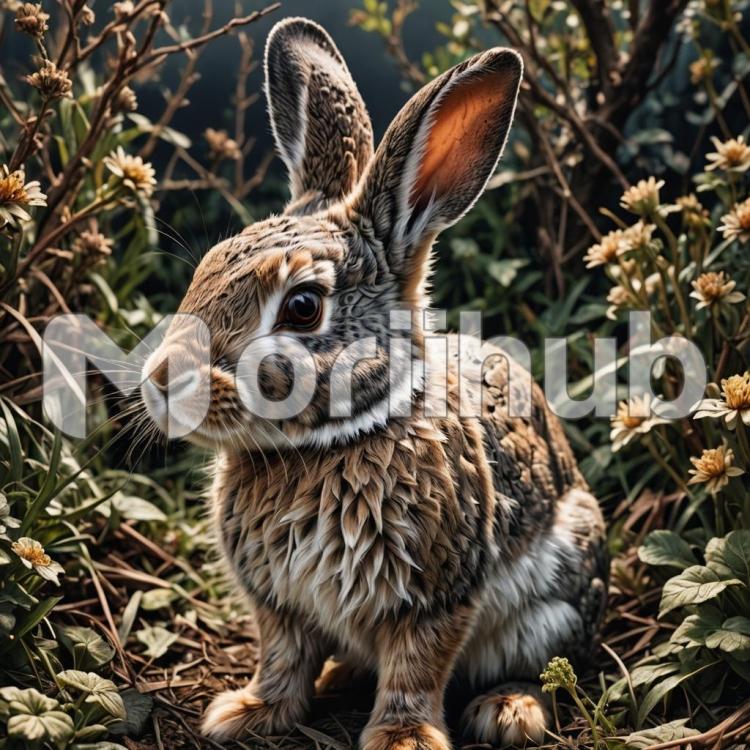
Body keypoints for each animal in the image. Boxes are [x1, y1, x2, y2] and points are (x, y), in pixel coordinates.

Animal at [140, 17, 608, 750]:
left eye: (303, 307)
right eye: (207, 268)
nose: (161, 383)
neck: (331, 442)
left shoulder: (436, 595)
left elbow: (416, 667)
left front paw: (404, 737)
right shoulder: (278, 601)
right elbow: (282, 655)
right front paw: (247, 712)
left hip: (554, 602)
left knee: (548, 666)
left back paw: (509, 711)